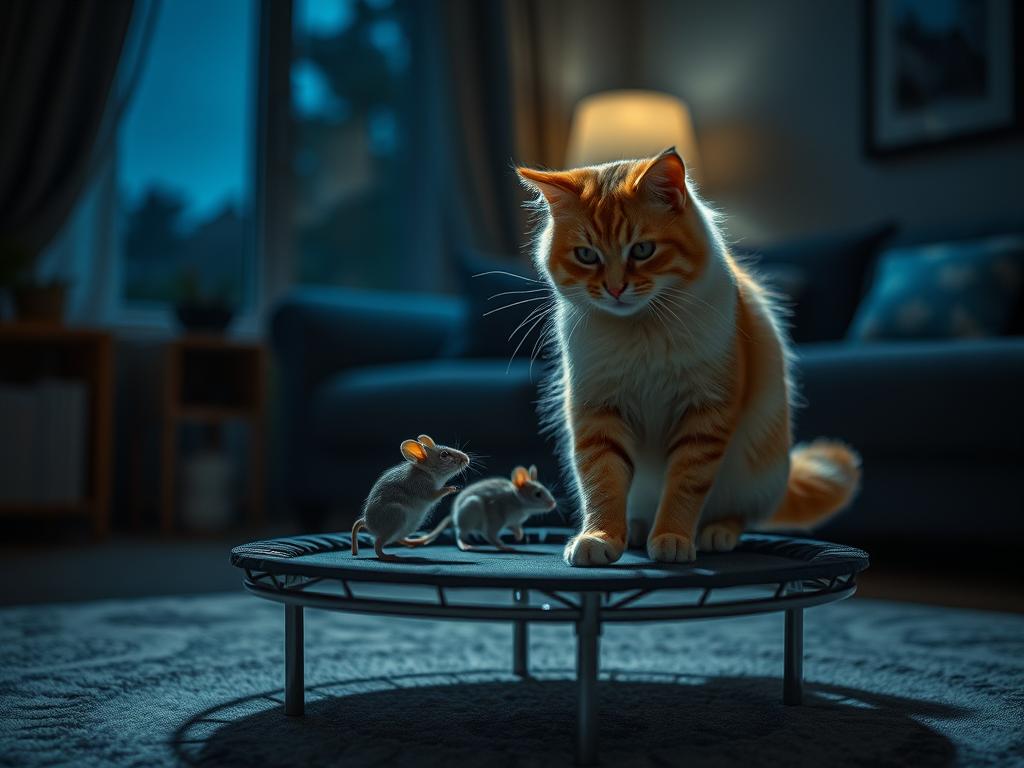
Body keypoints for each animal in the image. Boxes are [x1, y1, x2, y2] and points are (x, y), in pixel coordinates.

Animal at [516, 148, 860, 565]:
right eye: (586, 255)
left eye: (642, 250)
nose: (614, 289)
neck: (641, 331)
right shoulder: (598, 412)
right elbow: (603, 482)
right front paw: (599, 538)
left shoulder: (704, 413)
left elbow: (684, 486)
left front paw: (672, 538)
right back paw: (636, 529)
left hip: (753, 474)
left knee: (738, 515)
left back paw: (714, 533)